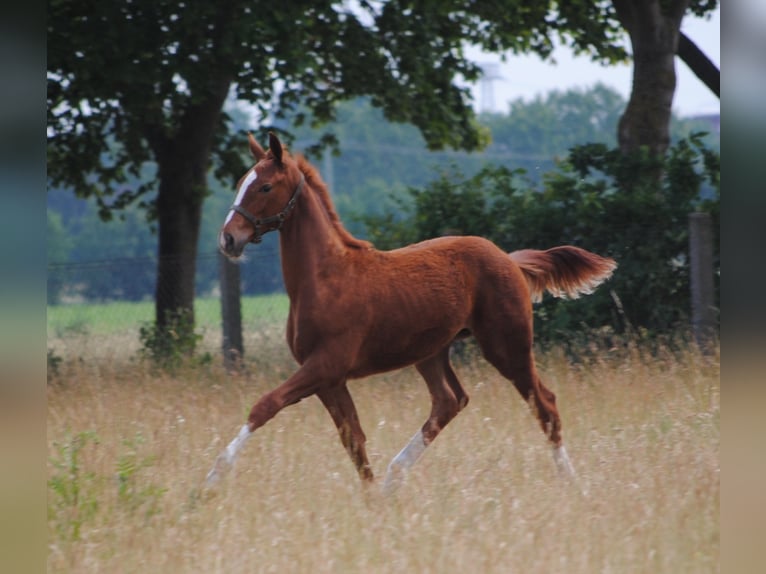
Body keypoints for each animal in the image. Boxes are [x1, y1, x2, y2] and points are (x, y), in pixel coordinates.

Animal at [206, 132, 616, 492]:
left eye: (264, 187)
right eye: (241, 182)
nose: (228, 238)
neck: (325, 278)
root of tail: (510, 260)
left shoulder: (325, 366)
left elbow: (265, 405)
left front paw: (212, 478)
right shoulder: (329, 379)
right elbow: (353, 439)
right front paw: (373, 501)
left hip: (507, 346)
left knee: (544, 404)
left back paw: (572, 485)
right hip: (431, 352)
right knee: (450, 401)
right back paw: (394, 478)